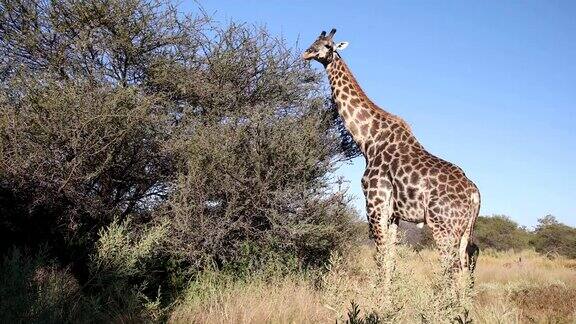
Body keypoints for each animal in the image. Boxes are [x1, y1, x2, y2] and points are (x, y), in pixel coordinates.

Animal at [304, 29, 480, 274]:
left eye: (329, 46)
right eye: (314, 41)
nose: (306, 53)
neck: (369, 140)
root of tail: (474, 194)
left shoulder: (375, 204)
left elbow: (381, 259)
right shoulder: (394, 214)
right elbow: (390, 261)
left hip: (443, 227)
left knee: (452, 269)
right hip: (463, 232)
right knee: (464, 268)